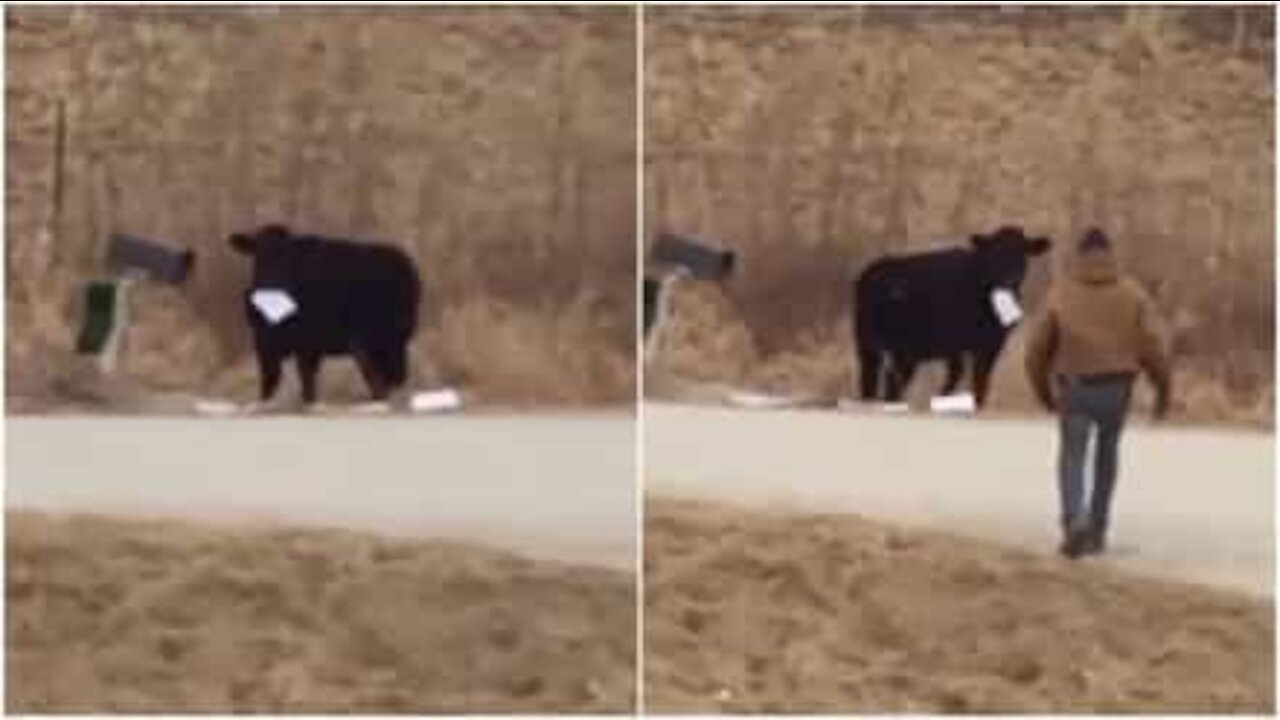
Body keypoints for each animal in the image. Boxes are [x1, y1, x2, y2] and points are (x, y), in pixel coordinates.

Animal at [229, 224, 419, 404]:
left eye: (288, 255)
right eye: (258, 253)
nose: (272, 282)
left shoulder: (306, 345)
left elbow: (306, 383)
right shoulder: (264, 344)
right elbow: (269, 385)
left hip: (379, 339)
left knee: (382, 378)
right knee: (389, 377)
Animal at [849, 224, 1049, 407]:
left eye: (1023, 252)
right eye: (994, 252)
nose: (1010, 277)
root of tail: (871, 272)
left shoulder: (984, 345)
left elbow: (975, 379)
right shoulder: (966, 344)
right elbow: (967, 377)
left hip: (878, 347)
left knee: (877, 382)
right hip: (891, 347)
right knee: (883, 385)